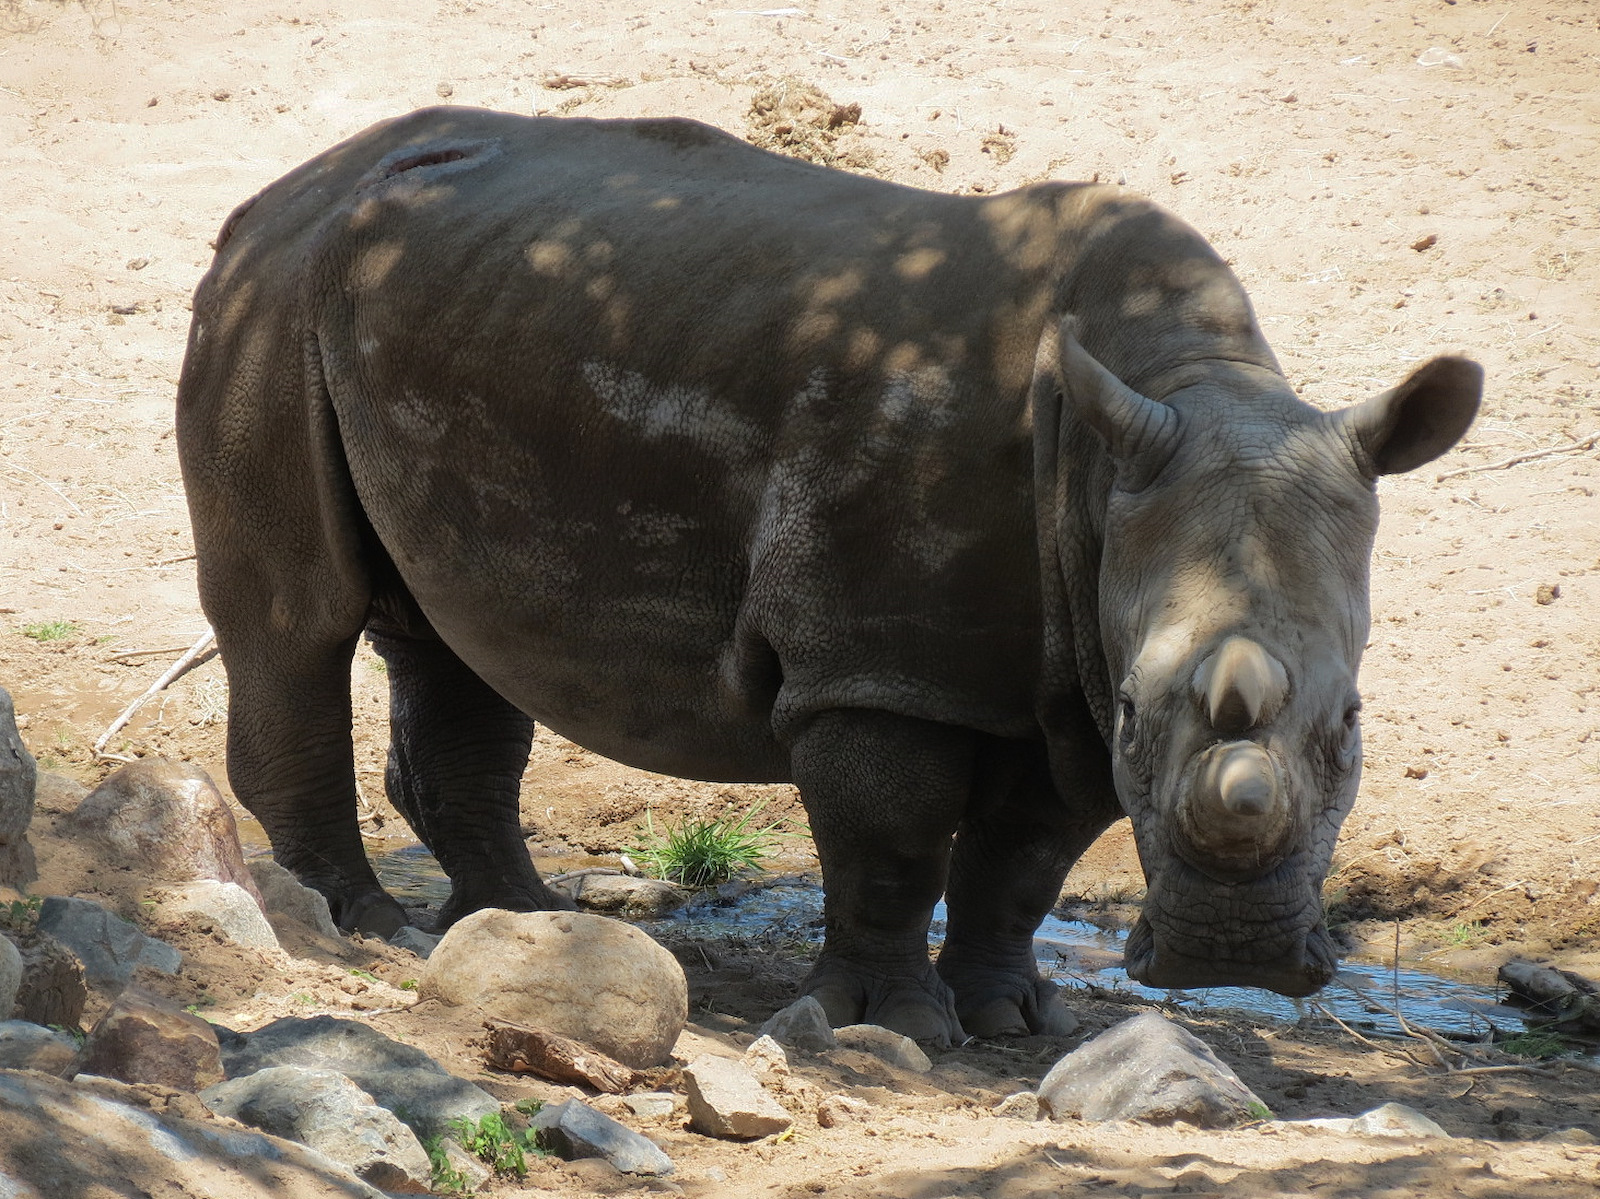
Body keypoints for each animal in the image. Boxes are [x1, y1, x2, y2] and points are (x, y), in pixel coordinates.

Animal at [176, 108, 1480, 1044]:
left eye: (1352, 726)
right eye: (1135, 712)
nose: (1229, 957)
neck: (1180, 382)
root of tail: (279, 194)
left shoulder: (1062, 666)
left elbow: (1025, 858)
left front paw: (1013, 1019)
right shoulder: (879, 661)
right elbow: (894, 839)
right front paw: (890, 1026)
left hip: (435, 316)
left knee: (450, 640)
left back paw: (524, 924)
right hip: (273, 302)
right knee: (296, 620)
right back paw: (357, 930)